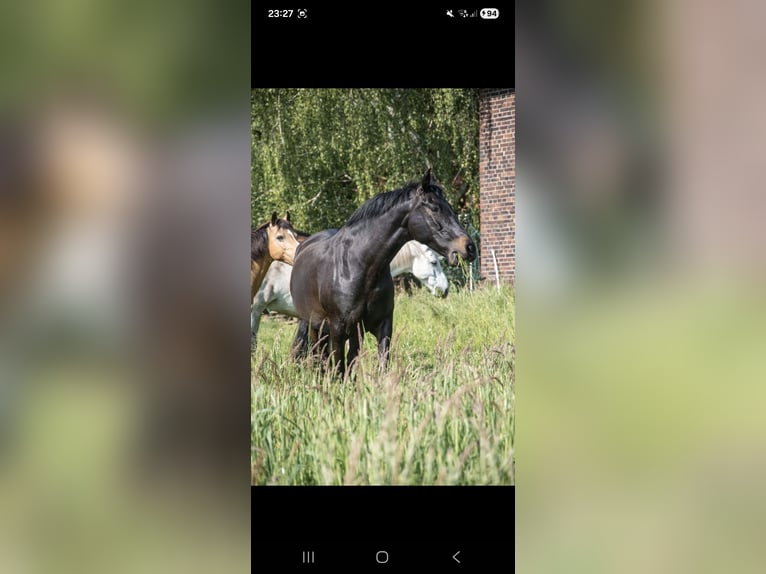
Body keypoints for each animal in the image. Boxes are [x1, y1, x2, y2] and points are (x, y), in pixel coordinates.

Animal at [289, 168, 476, 376]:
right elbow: (339, 368)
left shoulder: (381, 327)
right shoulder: (338, 329)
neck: (358, 266)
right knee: (317, 356)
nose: (469, 247)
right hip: (314, 326)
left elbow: (377, 365)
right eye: (435, 208)